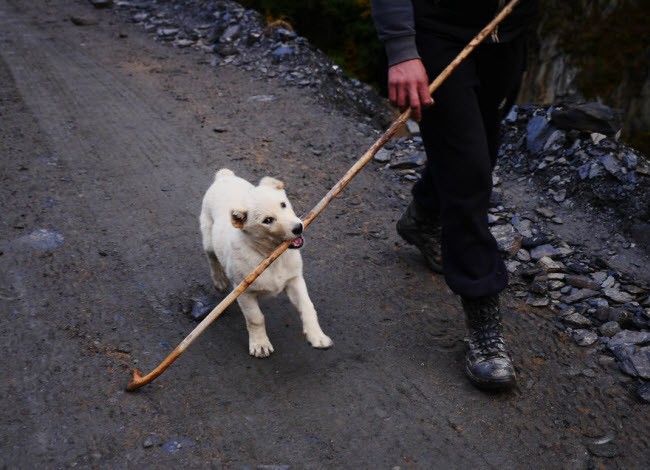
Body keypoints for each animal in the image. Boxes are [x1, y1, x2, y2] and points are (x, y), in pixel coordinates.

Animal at [199, 169, 332, 356]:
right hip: (209, 238)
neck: (271, 256)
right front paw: (260, 344)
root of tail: (225, 177)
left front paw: (317, 336)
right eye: (268, 220)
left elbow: (307, 306)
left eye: (283, 204)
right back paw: (219, 281)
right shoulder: (244, 292)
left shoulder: (294, 280)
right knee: (212, 258)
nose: (298, 227)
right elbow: (255, 318)